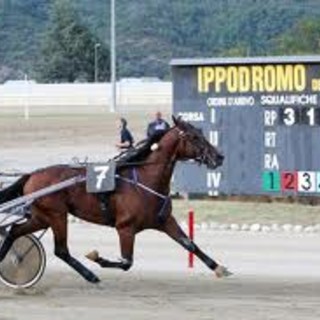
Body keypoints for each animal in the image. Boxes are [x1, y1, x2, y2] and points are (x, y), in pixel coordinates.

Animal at [0, 116, 230, 284]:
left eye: (201, 133)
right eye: (193, 136)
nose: (219, 157)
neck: (145, 180)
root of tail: (32, 175)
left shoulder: (164, 221)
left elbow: (189, 244)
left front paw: (219, 267)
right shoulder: (125, 228)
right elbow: (127, 262)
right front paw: (96, 257)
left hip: (42, 216)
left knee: (15, 231)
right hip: (57, 215)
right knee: (61, 250)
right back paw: (90, 275)